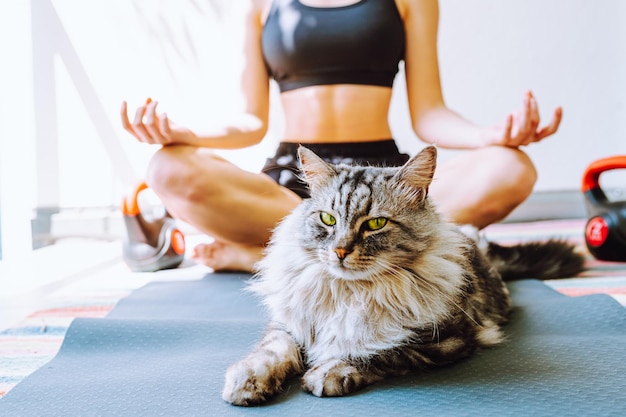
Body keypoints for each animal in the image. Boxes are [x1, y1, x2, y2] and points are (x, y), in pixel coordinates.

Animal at [222, 145, 584, 404]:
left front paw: (327, 372)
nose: (339, 251)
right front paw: (247, 380)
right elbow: (273, 350)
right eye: (327, 219)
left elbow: (378, 351)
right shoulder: (291, 323)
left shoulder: (445, 341)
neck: (351, 294)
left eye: (375, 224)